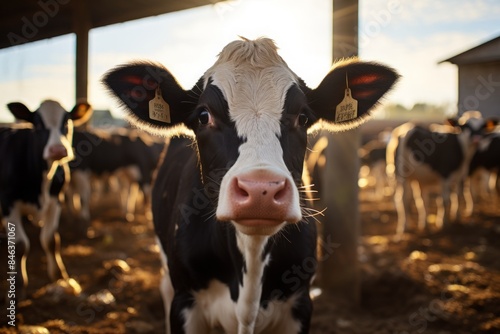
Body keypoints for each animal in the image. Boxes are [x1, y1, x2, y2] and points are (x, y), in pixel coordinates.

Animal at [0, 99, 91, 300]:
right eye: (38, 124)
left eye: (66, 123)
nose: (57, 150)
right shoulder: (8, 203)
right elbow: (20, 246)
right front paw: (19, 287)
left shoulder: (56, 200)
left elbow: (50, 240)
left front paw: (59, 276)